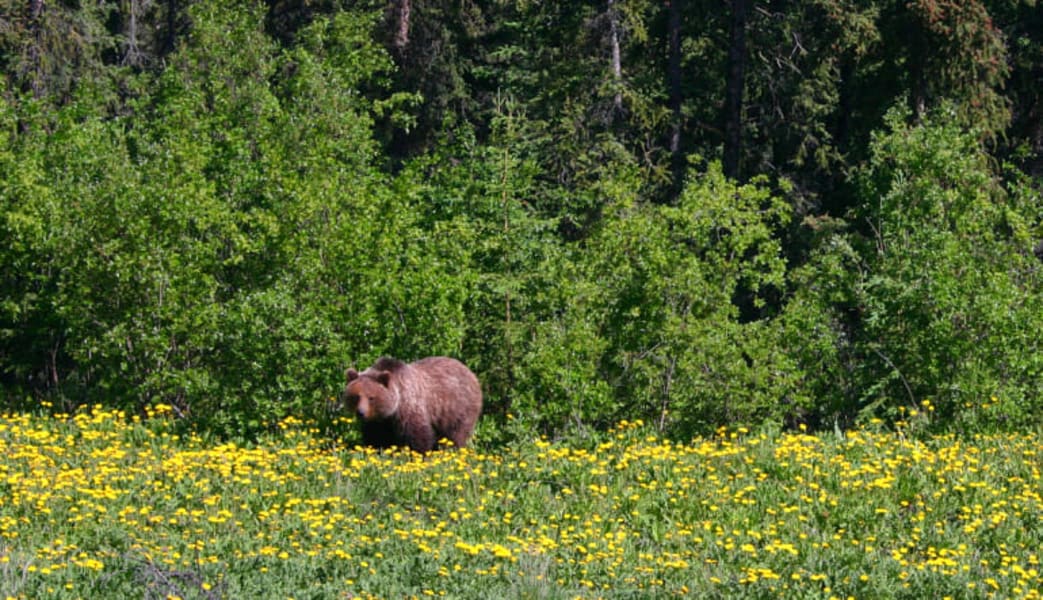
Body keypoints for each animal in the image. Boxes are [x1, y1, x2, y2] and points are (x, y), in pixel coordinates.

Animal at [346, 356, 483, 450]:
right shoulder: (378, 421)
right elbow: (376, 438)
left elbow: (418, 437)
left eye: (371, 398)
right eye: (356, 396)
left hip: (458, 408)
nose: (361, 412)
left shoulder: (409, 409)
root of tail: (470, 372)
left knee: (456, 434)